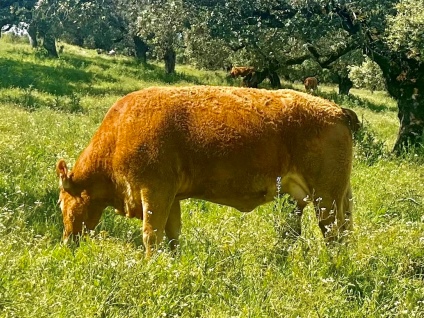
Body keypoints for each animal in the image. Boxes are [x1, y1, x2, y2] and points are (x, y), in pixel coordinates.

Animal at [55, 85, 354, 258]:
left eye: (61, 202)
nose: (67, 241)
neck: (118, 135)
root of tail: (337, 110)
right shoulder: (171, 198)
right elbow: (172, 234)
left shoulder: (154, 192)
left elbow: (151, 234)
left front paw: (148, 265)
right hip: (324, 198)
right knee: (331, 230)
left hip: (325, 198)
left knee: (333, 234)